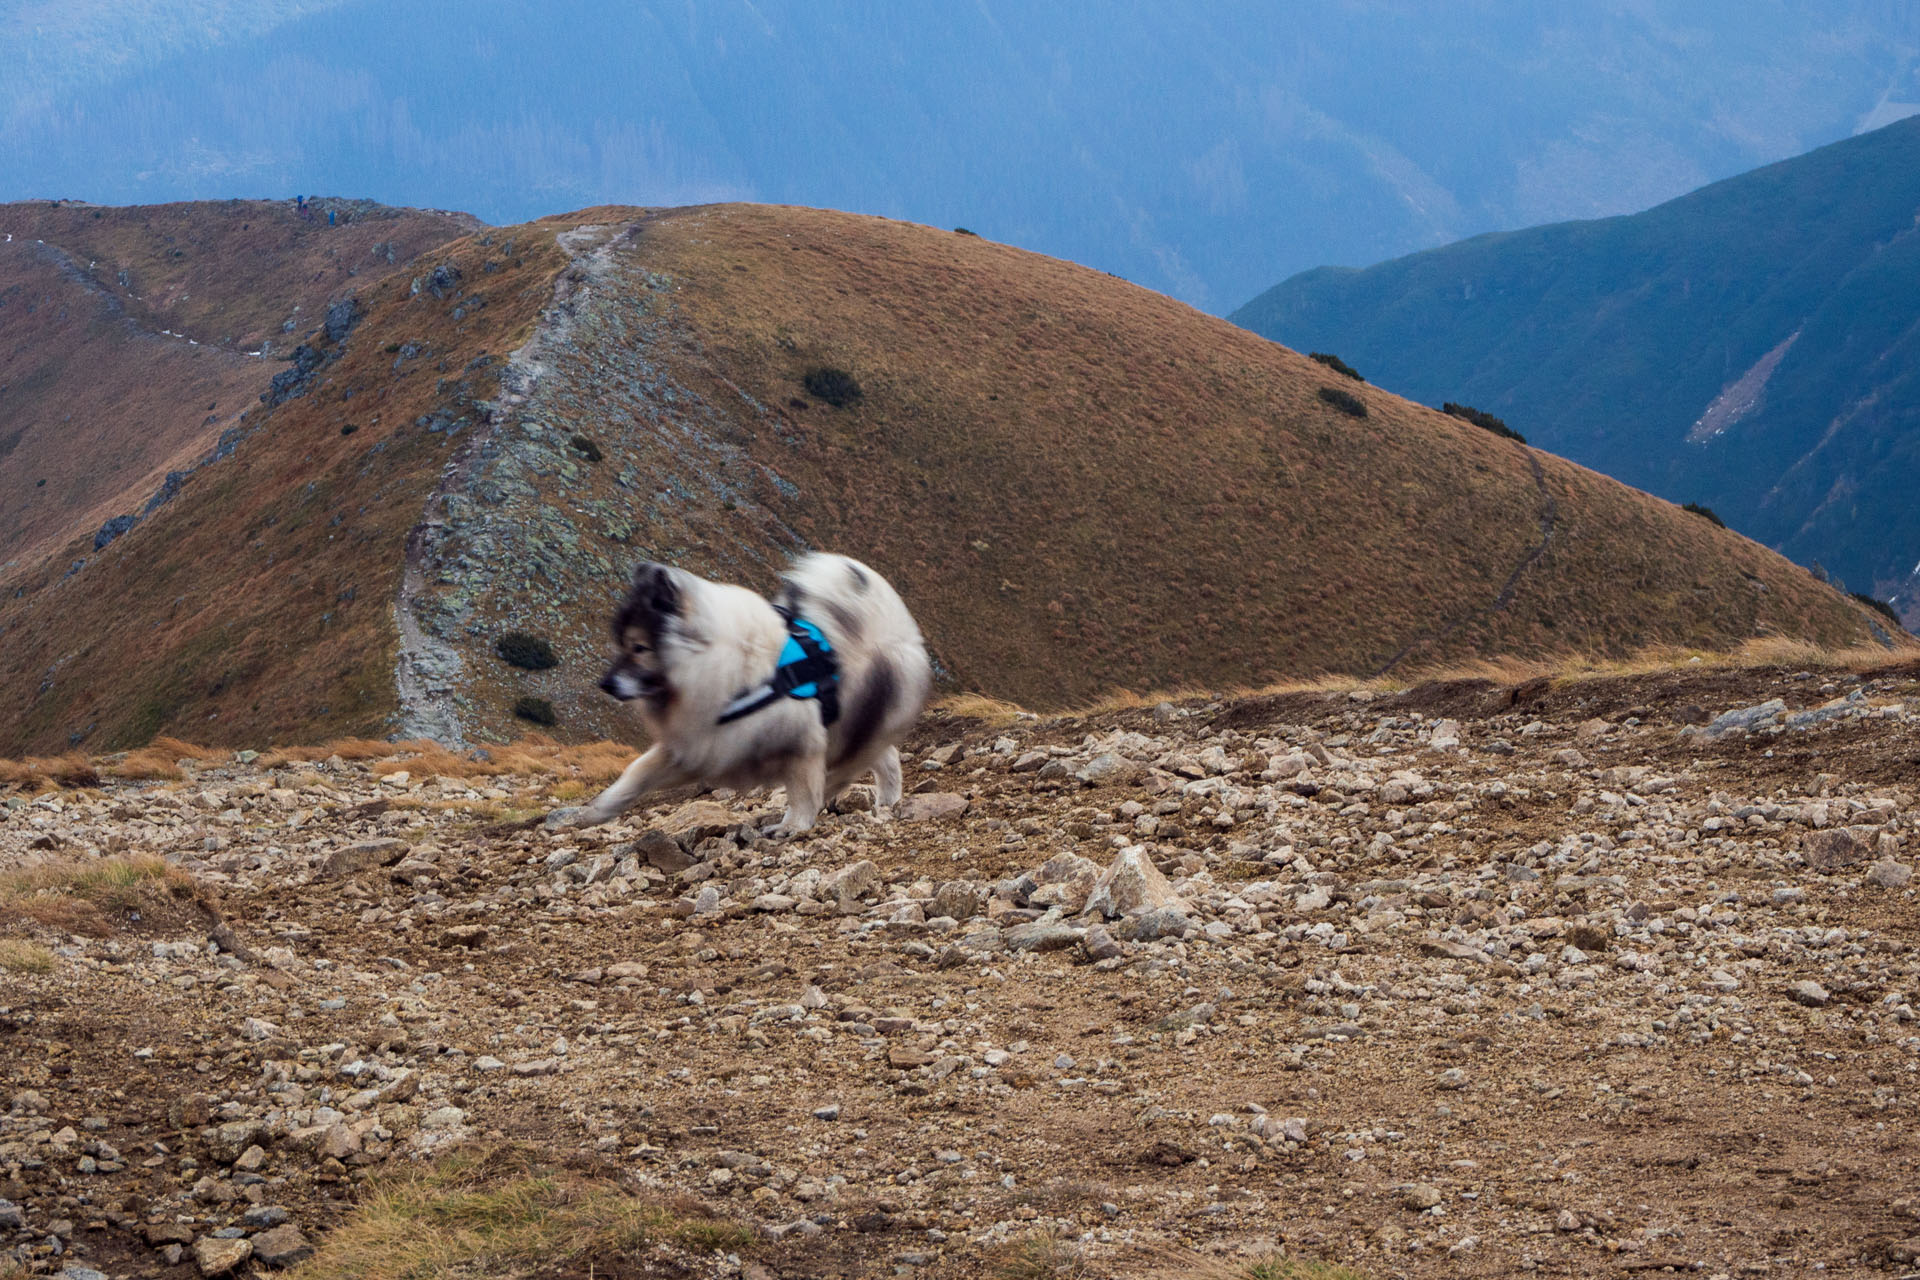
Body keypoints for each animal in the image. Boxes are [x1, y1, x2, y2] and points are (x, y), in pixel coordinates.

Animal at [560, 552, 933, 836]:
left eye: (639, 647)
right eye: (620, 645)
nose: (606, 684)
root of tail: (892, 626)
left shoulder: (799, 744)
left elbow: (802, 791)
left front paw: (793, 825)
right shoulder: (699, 746)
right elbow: (636, 773)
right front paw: (597, 810)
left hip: (860, 724)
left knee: (863, 760)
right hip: (851, 726)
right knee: (884, 757)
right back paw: (886, 799)